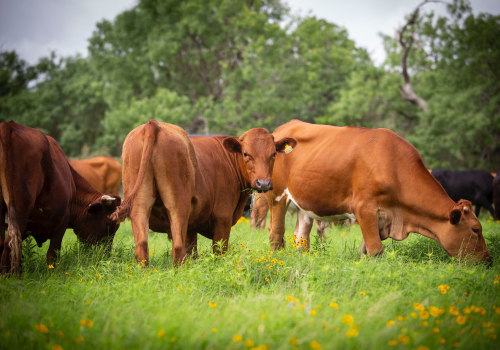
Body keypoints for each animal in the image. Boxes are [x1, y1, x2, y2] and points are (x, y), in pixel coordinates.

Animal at [0, 121, 121, 274]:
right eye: (108, 224)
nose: (106, 255)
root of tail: (10, 125)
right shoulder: (62, 221)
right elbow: (52, 254)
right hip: (21, 208)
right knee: (10, 244)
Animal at [111, 120, 294, 266]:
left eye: (273, 153)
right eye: (246, 153)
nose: (263, 183)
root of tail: (152, 124)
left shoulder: (191, 227)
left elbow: (193, 252)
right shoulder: (222, 218)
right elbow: (218, 251)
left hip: (139, 207)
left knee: (142, 246)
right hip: (177, 206)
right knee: (178, 248)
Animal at [268, 120, 490, 262]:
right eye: (475, 229)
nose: (488, 260)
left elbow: (365, 252)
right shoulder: (364, 209)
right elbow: (376, 251)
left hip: (303, 207)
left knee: (301, 240)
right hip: (277, 197)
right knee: (276, 234)